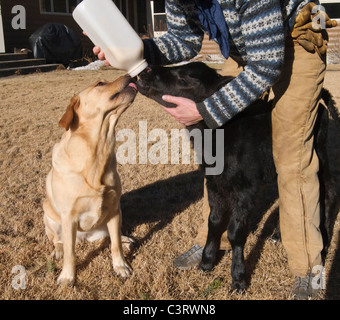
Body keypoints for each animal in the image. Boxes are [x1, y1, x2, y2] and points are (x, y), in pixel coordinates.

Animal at [43, 75, 137, 288]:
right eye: (100, 84)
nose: (129, 75)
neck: (98, 151)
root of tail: (84, 238)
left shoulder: (114, 210)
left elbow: (115, 245)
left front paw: (120, 266)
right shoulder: (68, 217)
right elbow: (71, 254)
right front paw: (67, 277)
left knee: (112, 237)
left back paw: (126, 239)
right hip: (49, 217)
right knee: (59, 241)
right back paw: (58, 251)